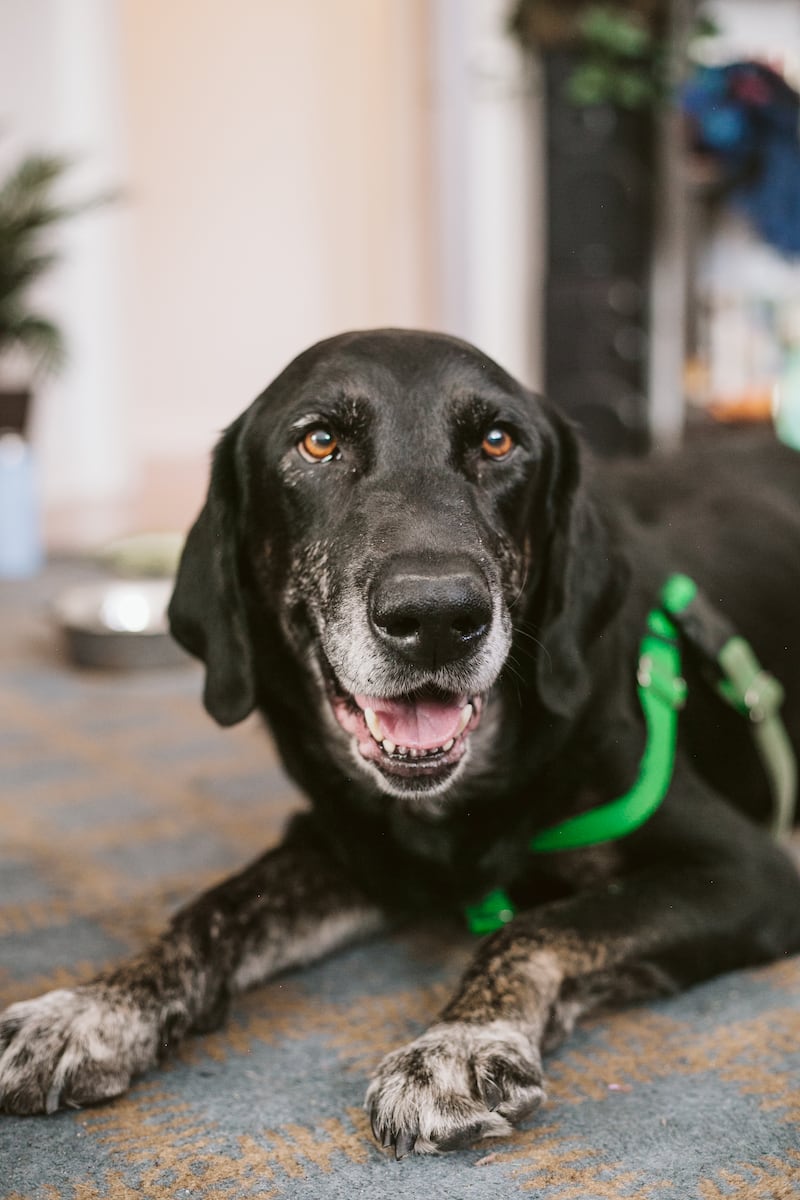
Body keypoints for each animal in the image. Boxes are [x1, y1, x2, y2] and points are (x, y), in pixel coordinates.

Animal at [1, 328, 800, 1152]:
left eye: (498, 440)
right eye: (318, 441)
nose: (438, 616)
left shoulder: (744, 872)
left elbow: (540, 926)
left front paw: (461, 1043)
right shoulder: (347, 844)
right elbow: (211, 913)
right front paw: (93, 1007)